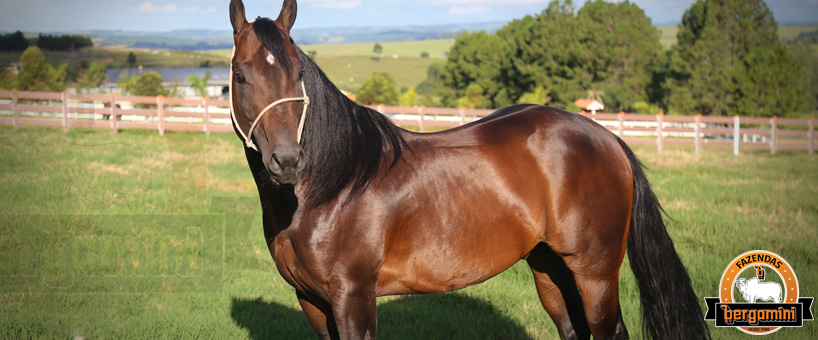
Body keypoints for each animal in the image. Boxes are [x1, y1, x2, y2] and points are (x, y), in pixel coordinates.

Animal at [228, 1, 708, 338]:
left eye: (298, 74)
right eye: (239, 75)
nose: (287, 161)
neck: (332, 189)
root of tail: (606, 138)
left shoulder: (353, 298)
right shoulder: (311, 300)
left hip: (597, 272)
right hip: (549, 268)